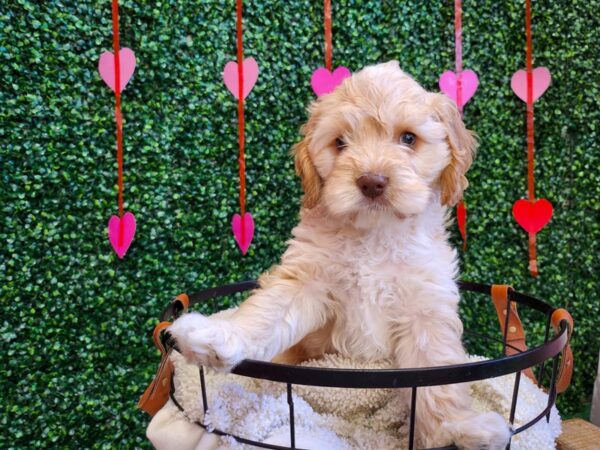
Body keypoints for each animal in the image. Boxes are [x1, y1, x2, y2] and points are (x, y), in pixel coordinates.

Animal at [169, 62, 510, 450]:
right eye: (340, 143)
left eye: (408, 138)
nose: (372, 181)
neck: (374, 234)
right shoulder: (306, 278)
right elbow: (267, 313)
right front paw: (216, 336)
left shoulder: (425, 305)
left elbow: (436, 373)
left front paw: (454, 429)